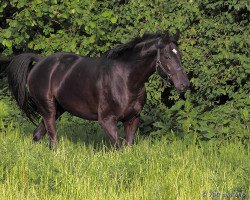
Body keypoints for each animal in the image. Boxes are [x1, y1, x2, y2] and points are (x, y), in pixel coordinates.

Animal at [4, 32, 189, 148]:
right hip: (48, 109)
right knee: (52, 138)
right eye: (167, 56)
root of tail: (40, 61)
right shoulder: (107, 120)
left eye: (179, 55)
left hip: (57, 110)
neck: (126, 79)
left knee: (37, 135)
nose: (184, 84)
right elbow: (118, 147)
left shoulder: (132, 119)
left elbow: (127, 147)